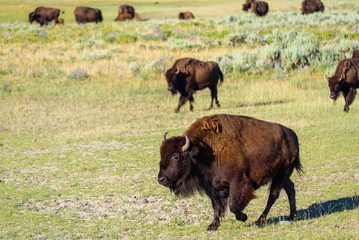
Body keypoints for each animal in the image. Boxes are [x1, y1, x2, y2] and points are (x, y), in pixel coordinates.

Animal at [159, 114, 302, 231]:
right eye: (161, 154)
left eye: (176, 157)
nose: (161, 179)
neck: (204, 151)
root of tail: (292, 135)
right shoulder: (213, 187)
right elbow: (216, 205)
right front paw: (212, 226)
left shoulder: (238, 182)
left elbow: (233, 205)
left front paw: (243, 217)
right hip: (280, 175)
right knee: (290, 188)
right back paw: (292, 216)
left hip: (282, 173)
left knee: (273, 195)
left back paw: (259, 221)